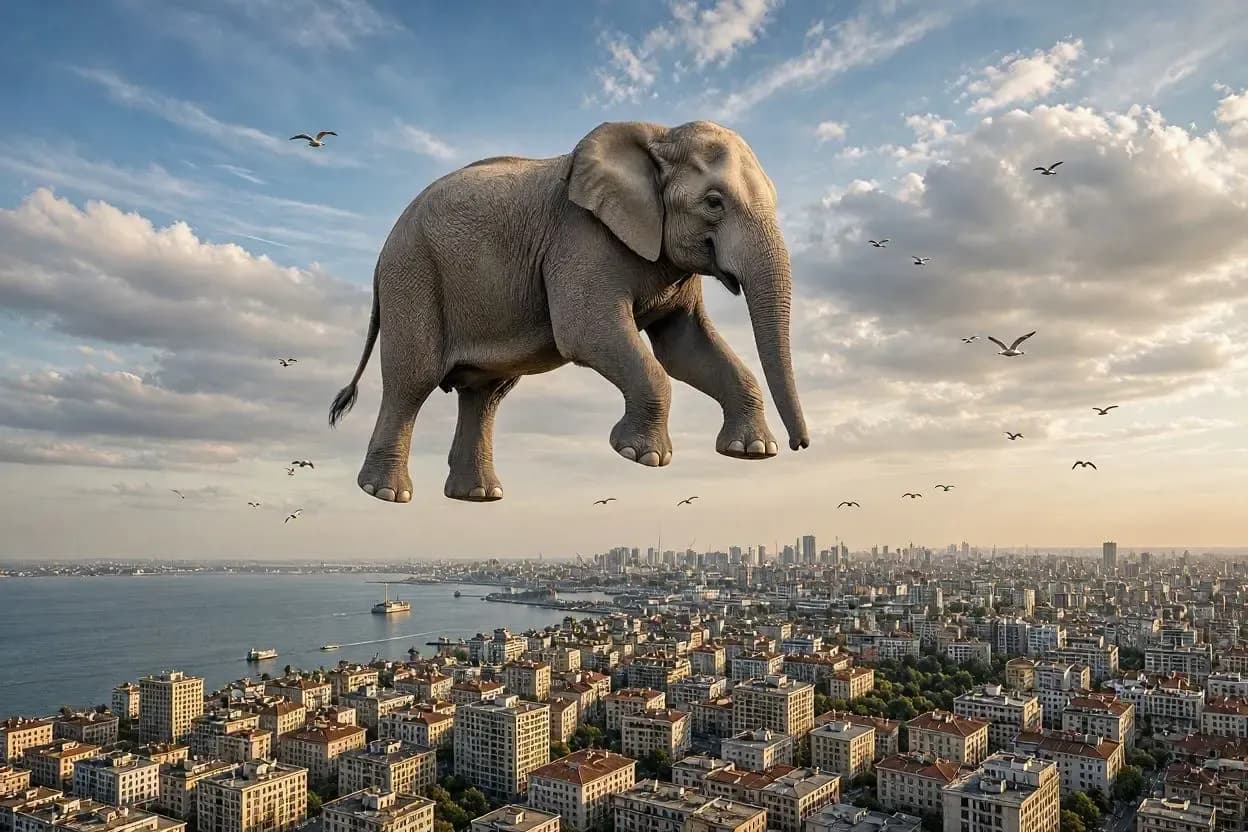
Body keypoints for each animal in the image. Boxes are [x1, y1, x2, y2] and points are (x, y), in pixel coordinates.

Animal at [329, 119, 809, 503]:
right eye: (713, 202)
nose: (800, 445)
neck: (658, 134)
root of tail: (382, 252)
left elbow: (685, 347)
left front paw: (751, 453)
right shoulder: (581, 239)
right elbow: (587, 331)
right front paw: (640, 456)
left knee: (485, 395)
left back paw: (479, 497)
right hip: (413, 276)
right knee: (413, 379)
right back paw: (386, 494)